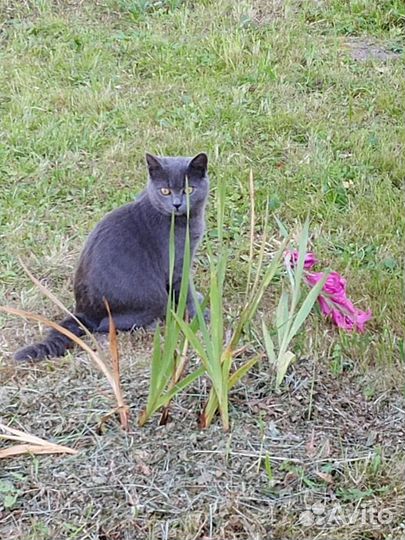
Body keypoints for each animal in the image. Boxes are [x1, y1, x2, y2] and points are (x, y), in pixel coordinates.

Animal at [14, 152, 210, 360]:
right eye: (165, 191)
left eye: (189, 189)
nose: (177, 204)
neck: (186, 221)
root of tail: (83, 313)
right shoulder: (177, 264)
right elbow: (186, 291)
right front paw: (199, 314)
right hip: (153, 296)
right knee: (108, 325)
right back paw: (153, 324)